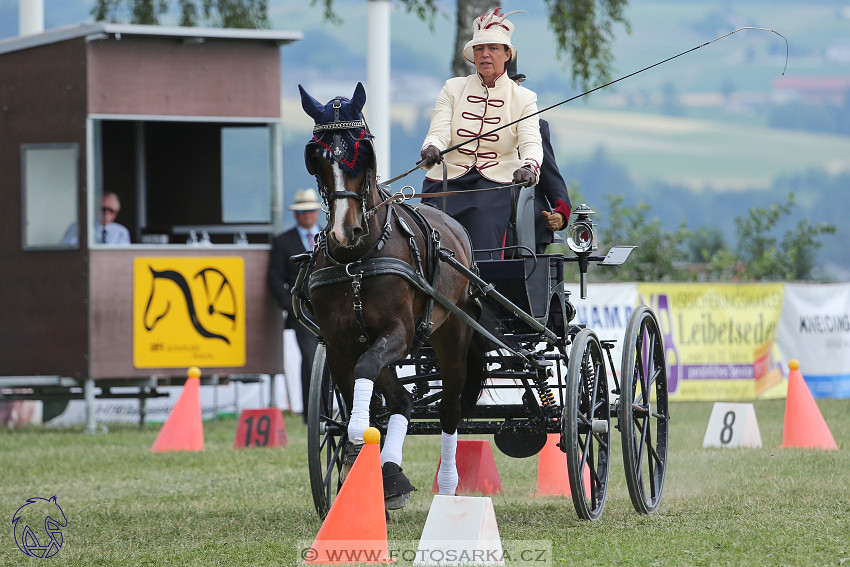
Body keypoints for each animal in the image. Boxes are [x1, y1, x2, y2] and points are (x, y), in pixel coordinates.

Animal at [296, 81, 490, 510]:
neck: (357, 260)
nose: (344, 232)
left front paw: (361, 445)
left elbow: (367, 374)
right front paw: (359, 460)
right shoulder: (339, 343)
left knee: (449, 408)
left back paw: (446, 487)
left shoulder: (399, 331)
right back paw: (390, 472)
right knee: (401, 399)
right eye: (317, 157)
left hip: (451, 335)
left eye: (362, 152)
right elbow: (360, 391)